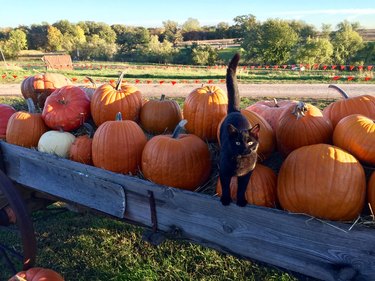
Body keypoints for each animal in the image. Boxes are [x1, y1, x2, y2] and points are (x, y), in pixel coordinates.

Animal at [219, 53, 260, 206]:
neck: (240, 161)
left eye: (250, 142)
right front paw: (225, 199)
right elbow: (225, 186)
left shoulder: (247, 175)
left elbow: (242, 188)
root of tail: (235, 111)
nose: (245, 149)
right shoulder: (223, 171)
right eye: (237, 142)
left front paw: (241, 201)